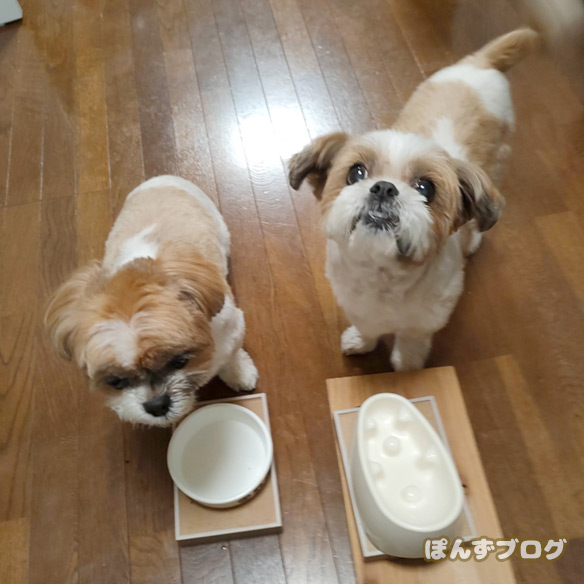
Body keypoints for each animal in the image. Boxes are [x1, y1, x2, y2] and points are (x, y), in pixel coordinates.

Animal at [45, 176, 258, 426]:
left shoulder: (231, 328)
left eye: (179, 362)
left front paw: (239, 373)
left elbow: (230, 357)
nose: (157, 405)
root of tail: (162, 178)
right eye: (116, 381)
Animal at [289, 29, 538, 371]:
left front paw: (407, 366)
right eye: (356, 172)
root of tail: (481, 63)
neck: (383, 278)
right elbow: (367, 327)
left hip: (497, 164)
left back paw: (473, 240)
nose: (383, 188)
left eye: (425, 188)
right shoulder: (356, 303)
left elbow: (410, 340)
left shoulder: (427, 318)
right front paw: (361, 342)